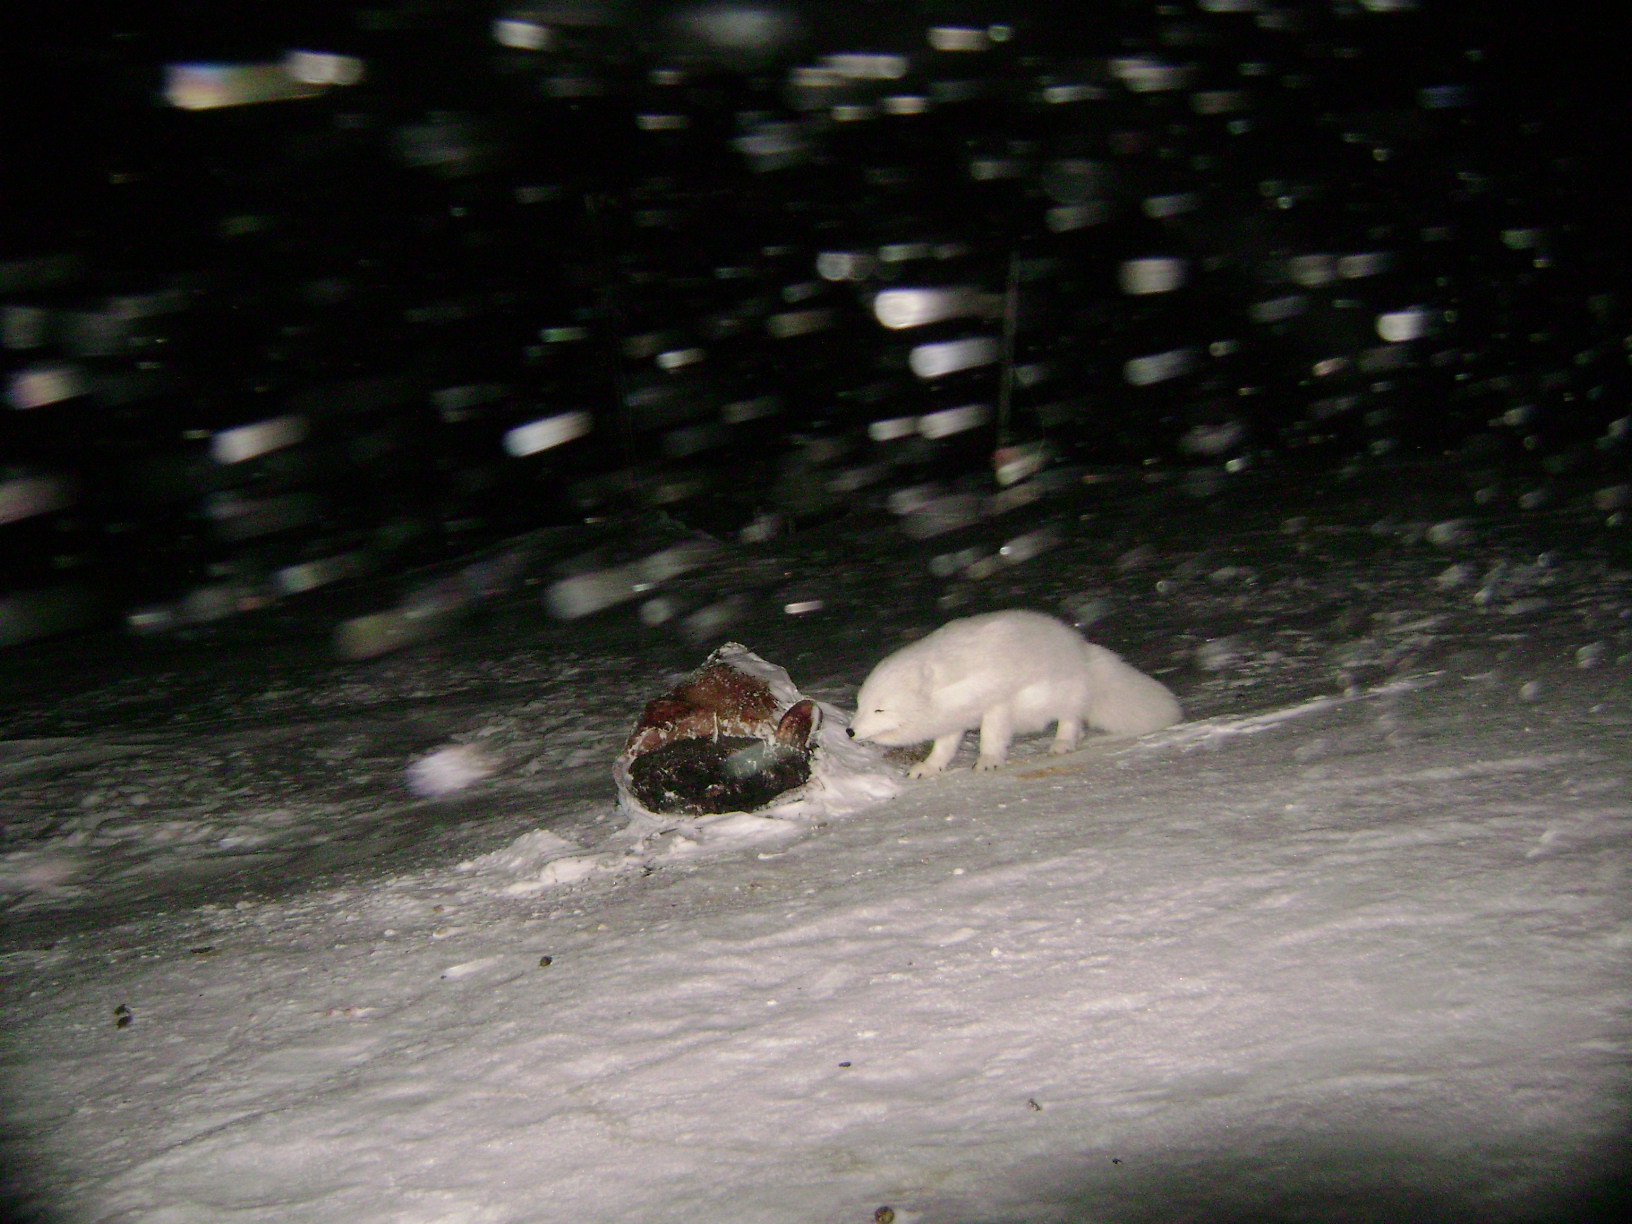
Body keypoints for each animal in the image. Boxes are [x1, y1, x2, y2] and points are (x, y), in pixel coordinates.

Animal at [848, 610, 1181, 776]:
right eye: (861, 704)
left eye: (880, 709)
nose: (850, 731)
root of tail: (1082, 649)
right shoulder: (954, 718)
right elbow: (943, 747)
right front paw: (929, 768)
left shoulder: (998, 704)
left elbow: (991, 735)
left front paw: (988, 761)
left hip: (1057, 695)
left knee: (1072, 718)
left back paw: (1063, 743)